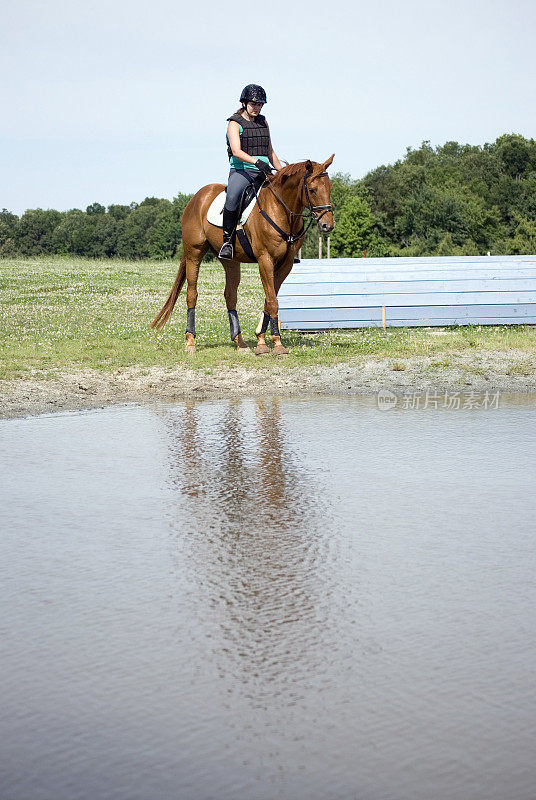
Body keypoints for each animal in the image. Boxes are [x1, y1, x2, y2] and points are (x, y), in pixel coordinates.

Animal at [152, 155, 336, 354]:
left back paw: (239, 341)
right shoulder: (265, 260)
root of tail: (196, 198)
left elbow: (269, 299)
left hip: (230, 261)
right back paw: (190, 341)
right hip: (194, 253)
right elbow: (272, 301)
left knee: (230, 296)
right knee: (192, 294)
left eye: (330, 187)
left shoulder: (286, 264)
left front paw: (262, 340)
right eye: (312, 189)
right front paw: (275, 344)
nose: (328, 225)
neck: (280, 209)